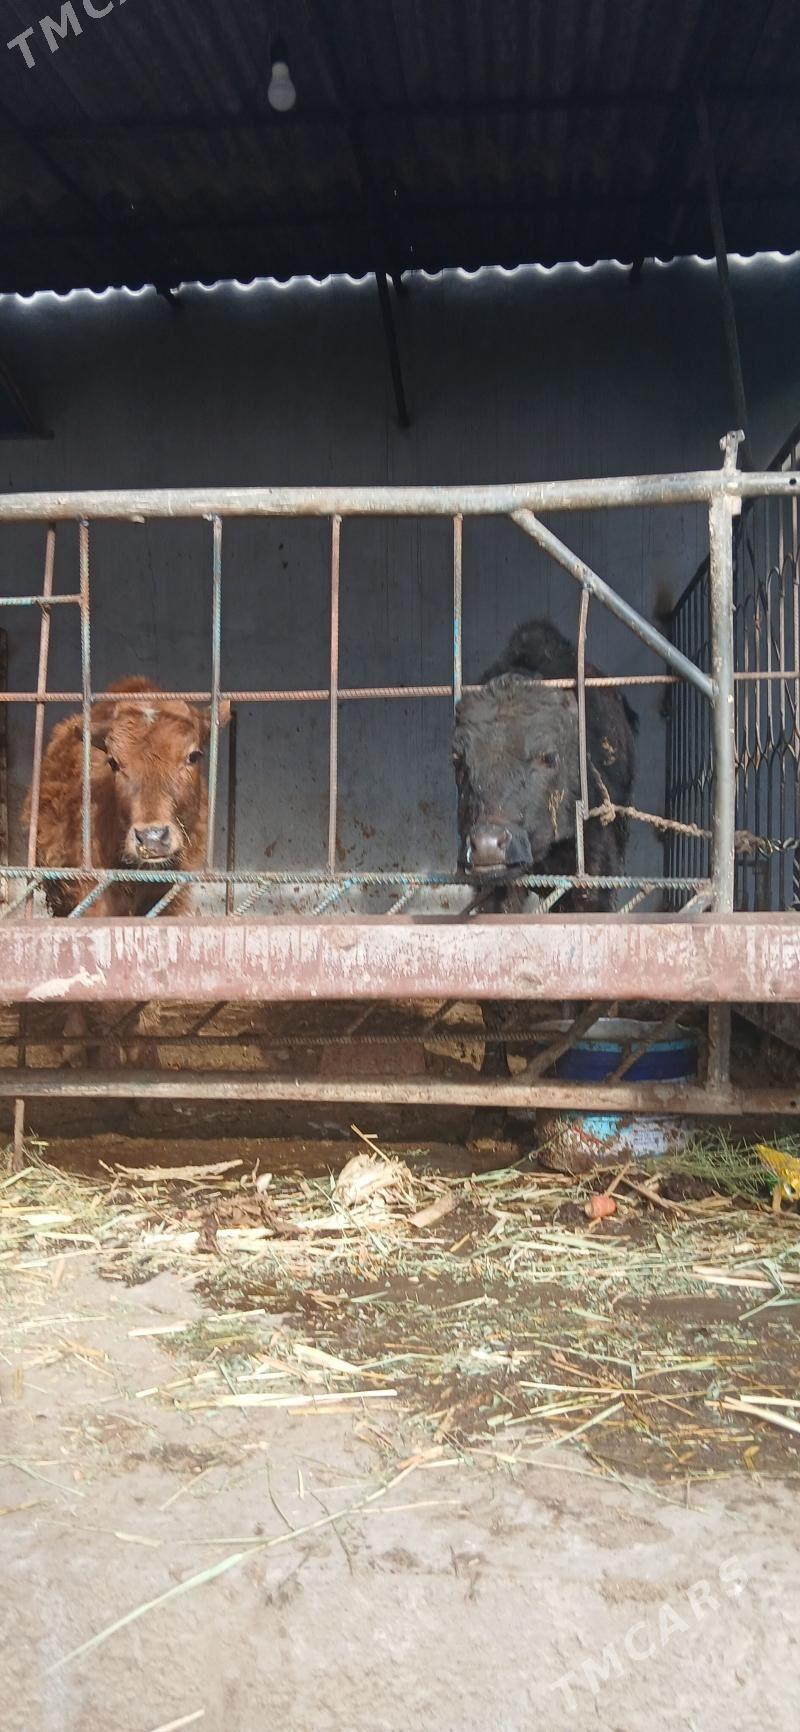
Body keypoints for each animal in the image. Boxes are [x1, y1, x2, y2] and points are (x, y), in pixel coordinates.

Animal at [453, 619, 638, 1077]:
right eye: (458, 760)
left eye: (548, 757)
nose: (488, 846)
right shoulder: (494, 896)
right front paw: (494, 1071)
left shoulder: (592, 888)